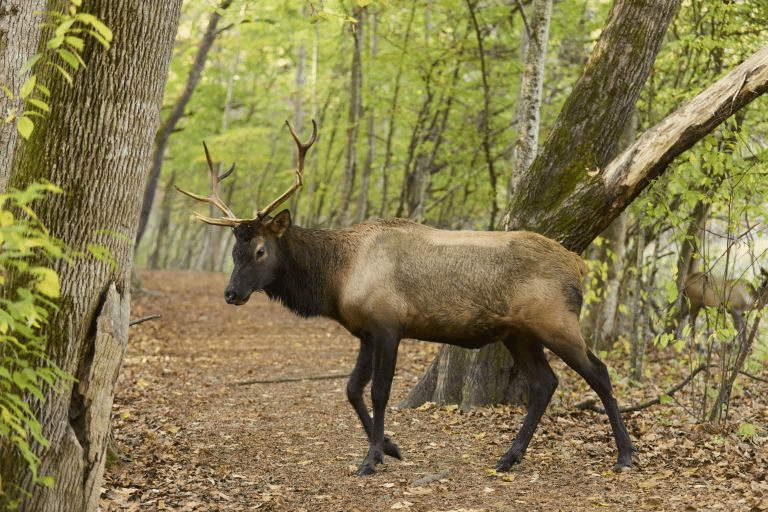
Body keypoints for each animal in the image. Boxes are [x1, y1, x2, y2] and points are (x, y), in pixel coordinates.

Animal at [180, 121, 636, 476]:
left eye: (260, 250)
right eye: (233, 250)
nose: (231, 294)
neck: (337, 279)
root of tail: (579, 265)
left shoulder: (388, 325)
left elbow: (379, 392)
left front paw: (371, 459)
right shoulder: (364, 331)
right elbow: (351, 388)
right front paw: (390, 448)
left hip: (555, 321)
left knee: (598, 372)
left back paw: (626, 455)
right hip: (517, 332)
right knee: (545, 383)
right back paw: (509, 457)